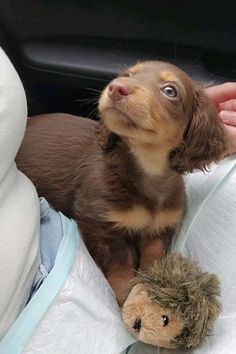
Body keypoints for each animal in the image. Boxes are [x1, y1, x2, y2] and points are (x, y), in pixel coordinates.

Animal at [16, 60, 227, 304]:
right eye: (128, 75)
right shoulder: (99, 223)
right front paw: (123, 295)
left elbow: (153, 258)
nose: (116, 87)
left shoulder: (160, 229)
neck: (146, 171)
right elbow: (120, 263)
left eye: (170, 91)